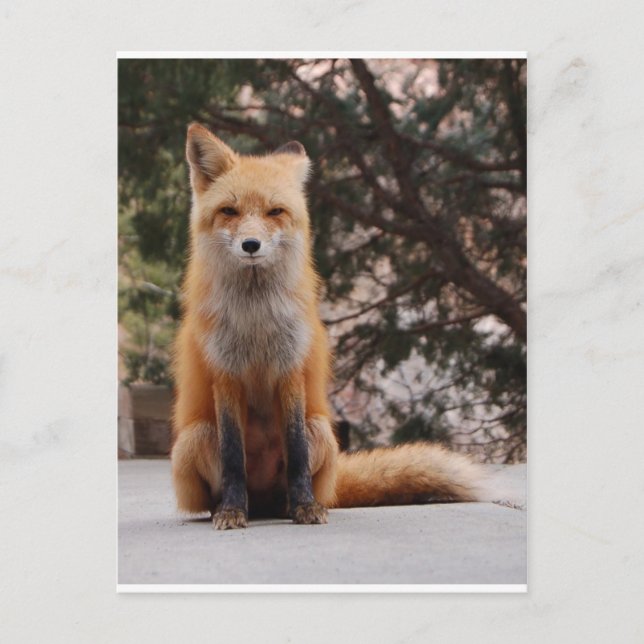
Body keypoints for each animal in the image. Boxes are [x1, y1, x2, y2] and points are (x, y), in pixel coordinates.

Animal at [170, 123, 486, 529]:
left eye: (274, 211)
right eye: (229, 211)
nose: (251, 245)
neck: (256, 322)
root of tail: (264, 503)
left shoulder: (291, 370)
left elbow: (297, 455)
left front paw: (306, 508)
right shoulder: (225, 375)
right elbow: (233, 459)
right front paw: (231, 511)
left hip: (320, 429)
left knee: (297, 477)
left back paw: (293, 505)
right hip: (196, 435)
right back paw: (230, 508)